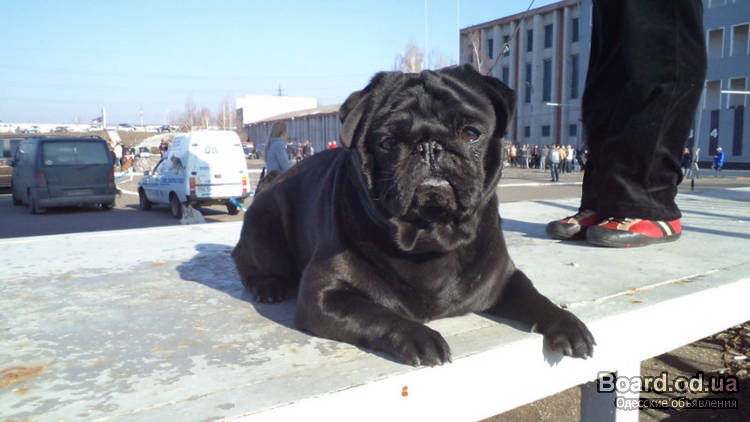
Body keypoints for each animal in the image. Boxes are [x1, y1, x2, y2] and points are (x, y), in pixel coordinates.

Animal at [233, 65, 594, 366]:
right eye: (387, 142)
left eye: (470, 133)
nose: (429, 147)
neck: (430, 233)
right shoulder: (323, 296)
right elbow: (375, 313)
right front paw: (419, 337)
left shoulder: (504, 279)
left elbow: (534, 297)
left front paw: (567, 323)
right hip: (264, 228)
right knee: (245, 260)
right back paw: (268, 285)